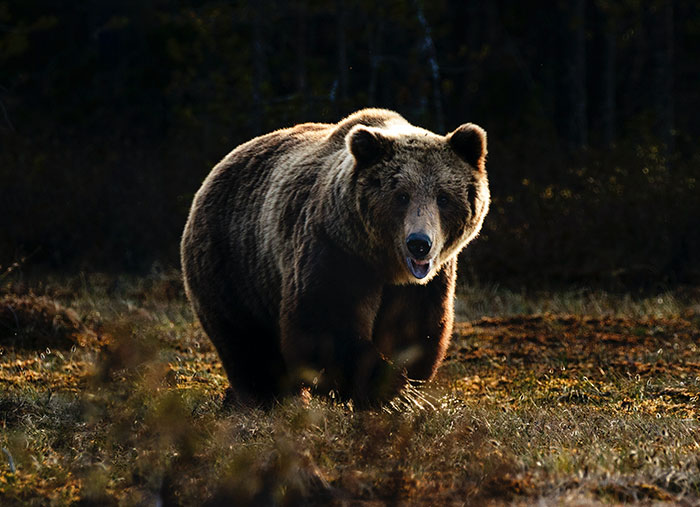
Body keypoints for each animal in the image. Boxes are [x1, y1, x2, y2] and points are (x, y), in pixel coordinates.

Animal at [180, 108, 489, 406]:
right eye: (401, 196)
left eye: (443, 197)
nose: (419, 244)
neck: (384, 263)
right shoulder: (334, 250)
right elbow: (324, 323)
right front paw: (385, 388)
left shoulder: (426, 282)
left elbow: (413, 329)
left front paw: (401, 386)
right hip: (233, 264)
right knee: (247, 342)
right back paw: (265, 397)